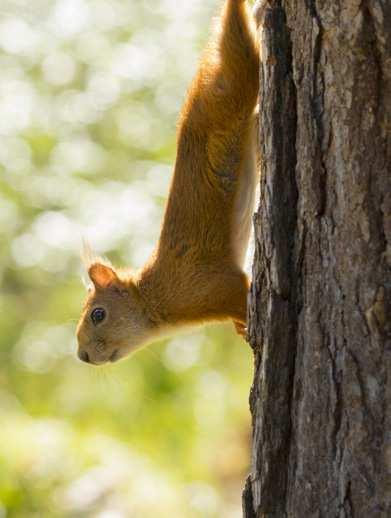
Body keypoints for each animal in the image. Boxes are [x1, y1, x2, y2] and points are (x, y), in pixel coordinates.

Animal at [76, 0, 266, 366]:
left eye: (98, 314)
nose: (82, 355)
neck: (155, 297)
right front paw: (241, 329)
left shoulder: (212, 286)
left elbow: (241, 291)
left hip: (240, 83)